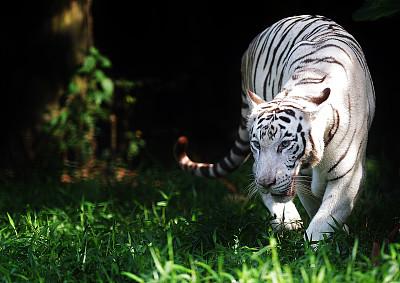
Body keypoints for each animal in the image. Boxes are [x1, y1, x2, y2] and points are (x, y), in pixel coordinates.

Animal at [175, 15, 376, 244]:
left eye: (285, 144)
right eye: (256, 144)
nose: (266, 183)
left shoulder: (348, 177)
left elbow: (324, 217)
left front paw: (319, 247)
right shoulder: (301, 176)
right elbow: (315, 208)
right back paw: (287, 221)